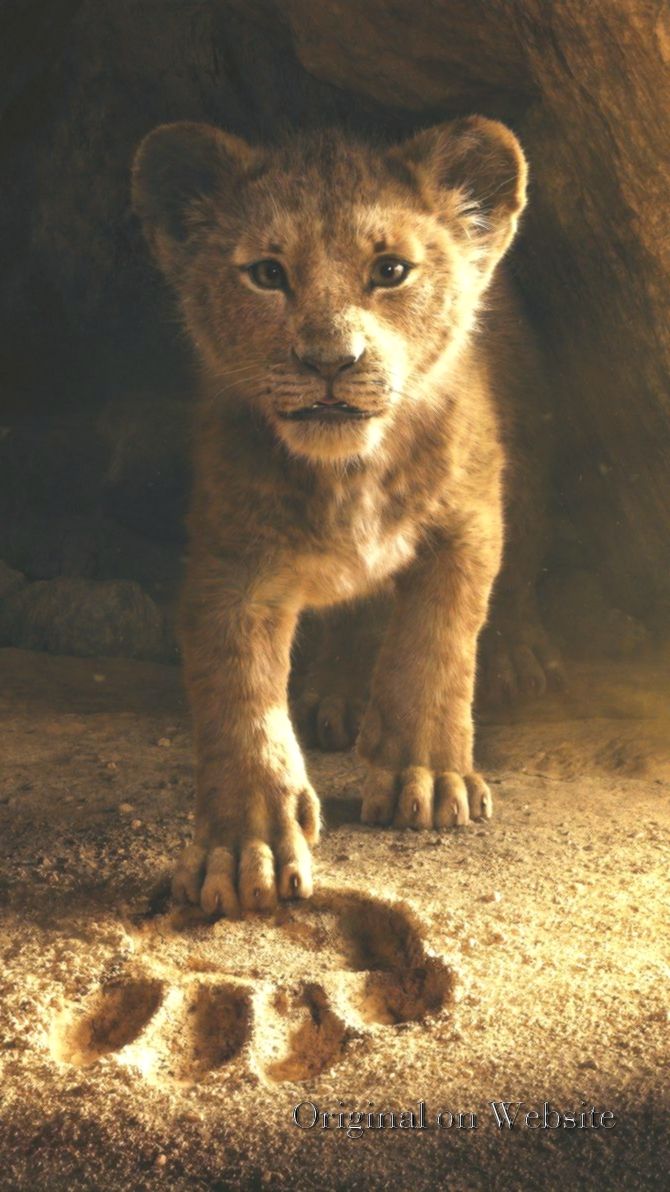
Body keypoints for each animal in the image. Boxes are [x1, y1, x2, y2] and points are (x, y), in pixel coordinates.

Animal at [132, 116, 561, 916]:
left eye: (390, 270)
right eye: (267, 274)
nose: (330, 360)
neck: (349, 472)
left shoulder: (467, 520)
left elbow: (436, 644)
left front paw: (428, 777)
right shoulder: (233, 562)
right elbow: (238, 697)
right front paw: (245, 848)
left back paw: (518, 657)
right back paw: (337, 693)